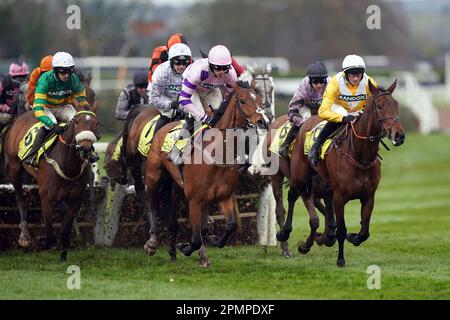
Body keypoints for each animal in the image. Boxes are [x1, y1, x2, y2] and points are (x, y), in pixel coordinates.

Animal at [3, 109, 97, 262]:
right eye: (77, 122)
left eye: (95, 124)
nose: (85, 149)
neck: (67, 165)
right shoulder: (46, 200)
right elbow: (50, 235)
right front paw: (42, 242)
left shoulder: (75, 201)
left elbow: (65, 230)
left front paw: (63, 257)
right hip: (13, 167)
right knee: (20, 198)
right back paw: (24, 235)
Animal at [145, 80, 268, 264]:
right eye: (242, 101)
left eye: (260, 100)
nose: (263, 122)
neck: (216, 155)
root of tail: (165, 126)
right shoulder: (194, 200)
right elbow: (196, 239)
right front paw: (186, 247)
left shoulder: (223, 196)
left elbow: (230, 225)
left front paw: (212, 240)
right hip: (154, 177)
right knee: (152, 206)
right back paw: (152, 243)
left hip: (178, 187)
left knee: (176, 220)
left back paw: (176, 251)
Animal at [276, 80, 406, 268]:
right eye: (380, 106)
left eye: (396, 105)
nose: (399, 135)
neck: (360, 156)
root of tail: (307, 121)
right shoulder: (339, 197)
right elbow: (341, 229)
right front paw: (340, 259)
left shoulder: (369, 196)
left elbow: (365, 231)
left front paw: (353, 237)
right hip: (299, 174)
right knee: (293, 194)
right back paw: (284, 233)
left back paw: (308, 243)